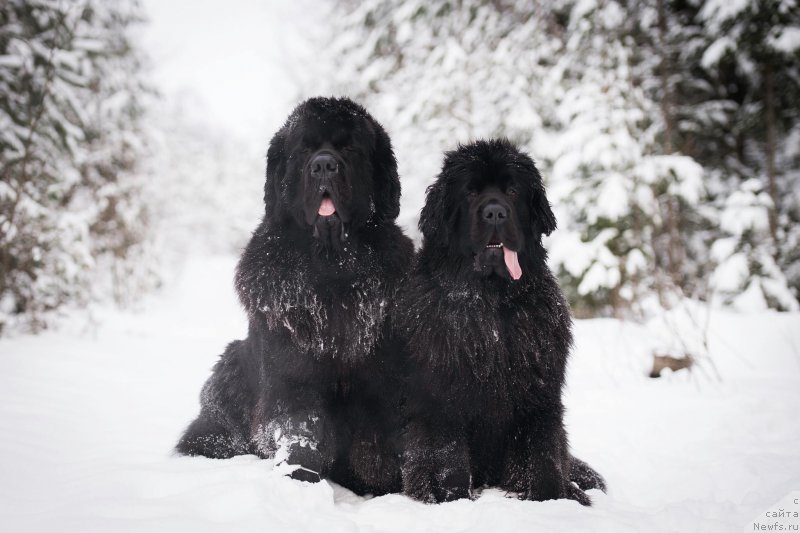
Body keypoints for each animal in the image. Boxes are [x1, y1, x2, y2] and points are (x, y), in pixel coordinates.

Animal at [175, 96, 412, 494]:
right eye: (304, 149)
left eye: (350, 147)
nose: (323, 165)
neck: (332, 265)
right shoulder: (292, 377)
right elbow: (302, 431)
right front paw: (299, 480)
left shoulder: (381, 380)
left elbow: (377, 446)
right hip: (230, 366)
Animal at [396, 137, 604, 502]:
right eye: (470, 191)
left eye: (512, 190)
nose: (495, 212)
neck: (490, 304)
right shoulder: (439, 397)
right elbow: (445, 456)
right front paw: (449, 496)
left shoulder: (538, 398)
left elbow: (541, 454)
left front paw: (553, 497)